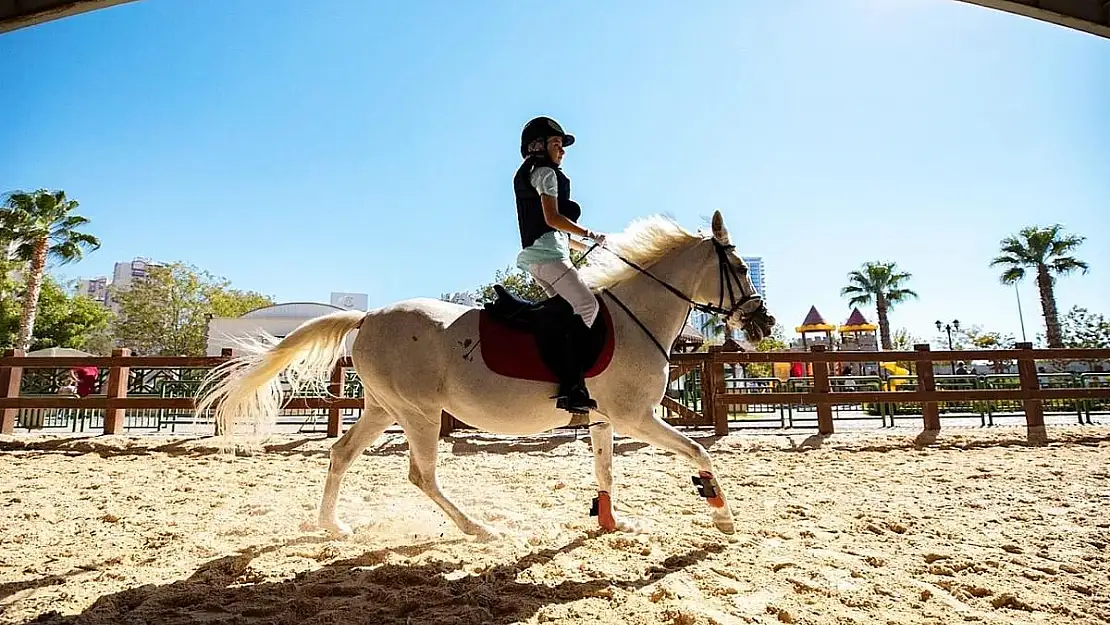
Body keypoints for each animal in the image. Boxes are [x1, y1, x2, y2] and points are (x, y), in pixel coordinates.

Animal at [195, 209, 777, 537]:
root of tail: (367, 316)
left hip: (384, 409)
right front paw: (722, 516)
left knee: (340, 454)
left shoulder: (605, 419)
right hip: (419, 413)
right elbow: (700, 453)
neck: (635, 315)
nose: (764, 321)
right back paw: (478, 529)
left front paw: (611, 524)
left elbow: (606, 471)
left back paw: (333, 527)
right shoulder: (636, 417)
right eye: (740, 267)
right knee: (422, 475)